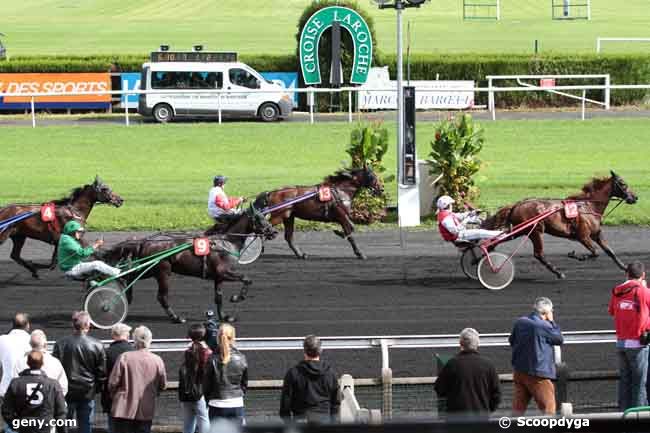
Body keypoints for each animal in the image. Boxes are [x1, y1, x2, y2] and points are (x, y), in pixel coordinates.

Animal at [100, 204, 278, 322]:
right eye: (260, 219)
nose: (274, 232)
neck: (226, 242)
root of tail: (145, 241)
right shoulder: (224, 272)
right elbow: (247, 279)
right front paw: (236, 297)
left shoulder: (218, 277)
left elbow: (218, 298)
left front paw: (225, 316)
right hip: (163, 272)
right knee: (161, 296)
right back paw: (176, 317)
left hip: (150, 270)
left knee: (130, 278)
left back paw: (125, 300)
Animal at [252, 167, 384, 258]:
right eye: (372, 176)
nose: (381, 189)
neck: (340, 191)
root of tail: (271, 192)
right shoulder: (341, 215)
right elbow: (350, 230)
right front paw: (359, 253)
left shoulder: (342, 217)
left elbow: (350, 229)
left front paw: (340, 233)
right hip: (279, 215)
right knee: (264, 227)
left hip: (288, 217)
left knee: (288, 237)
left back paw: (301, 254)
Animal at [480, 170, 636, 278]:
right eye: (623, 183)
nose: (635, 197)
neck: (588, 206)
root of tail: (517, 205)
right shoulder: (583, 236)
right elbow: (595, 252)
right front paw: (576, 255)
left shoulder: (597, 234)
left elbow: (610, 251)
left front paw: (625, 267)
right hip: (535, 231)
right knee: (538, 254)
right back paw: (558, 273)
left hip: (520, 231)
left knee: (495, 242)